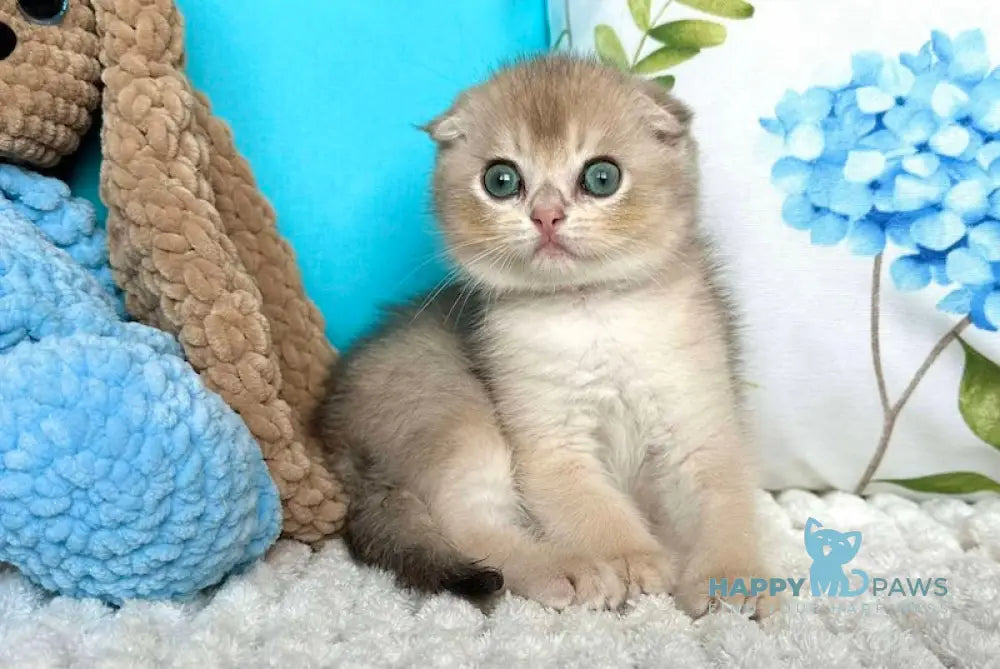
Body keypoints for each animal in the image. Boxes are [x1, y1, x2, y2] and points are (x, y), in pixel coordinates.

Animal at [316, 53, 768, 616]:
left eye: (602, 177)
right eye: (501, 180)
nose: (546, 215)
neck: (594, 313)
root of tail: (332, 428)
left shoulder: (698, 423)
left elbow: (727, 501)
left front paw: (733, 578)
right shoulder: (551, 445)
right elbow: (595, 509)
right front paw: (632, 560)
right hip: (452, 410)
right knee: (469, 523)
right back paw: (565, 570)